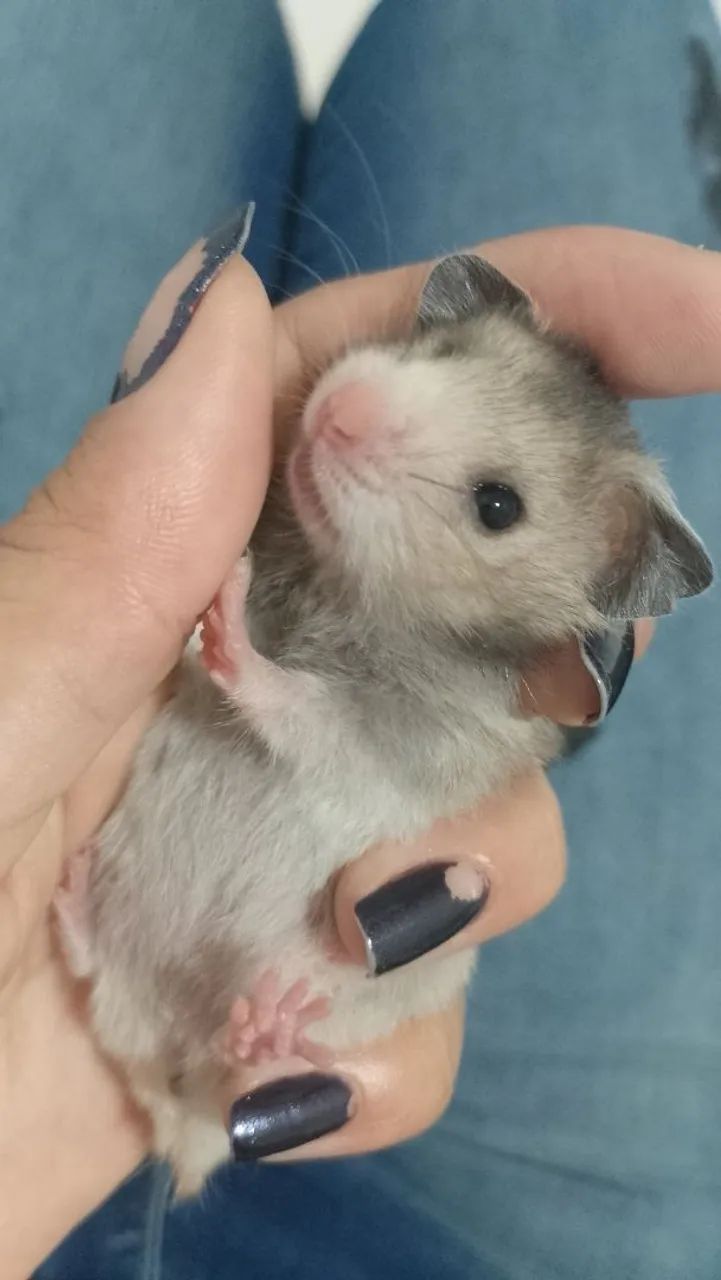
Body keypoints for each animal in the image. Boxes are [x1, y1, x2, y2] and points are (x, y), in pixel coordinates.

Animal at [55, 254, 713, 1196]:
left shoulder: (387, 751)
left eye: (497, 506)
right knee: (98, 987)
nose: (340, 412)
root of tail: (171, 1123)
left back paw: (264, 1027)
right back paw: (73, 899)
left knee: (234, 1076)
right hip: (130, 993)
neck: (344, 597)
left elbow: (302, 712)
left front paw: (228, 624)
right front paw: (216, 595)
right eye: (440, 351)